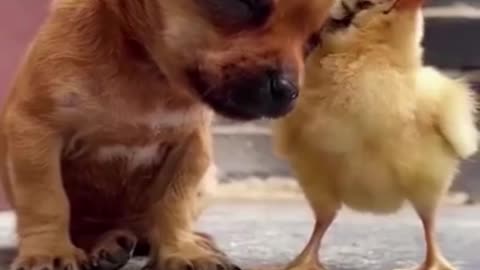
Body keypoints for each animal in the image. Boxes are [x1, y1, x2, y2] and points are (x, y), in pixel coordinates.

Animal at [0, 0, 334, 270]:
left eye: (314, 39)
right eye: (244, 3)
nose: (287, 91)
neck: (143, 64)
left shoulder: (191, 147)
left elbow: (174, 203)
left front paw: (182, 250)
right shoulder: (37, 131)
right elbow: (47, 199)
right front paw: (49, 251)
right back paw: (107, 243)